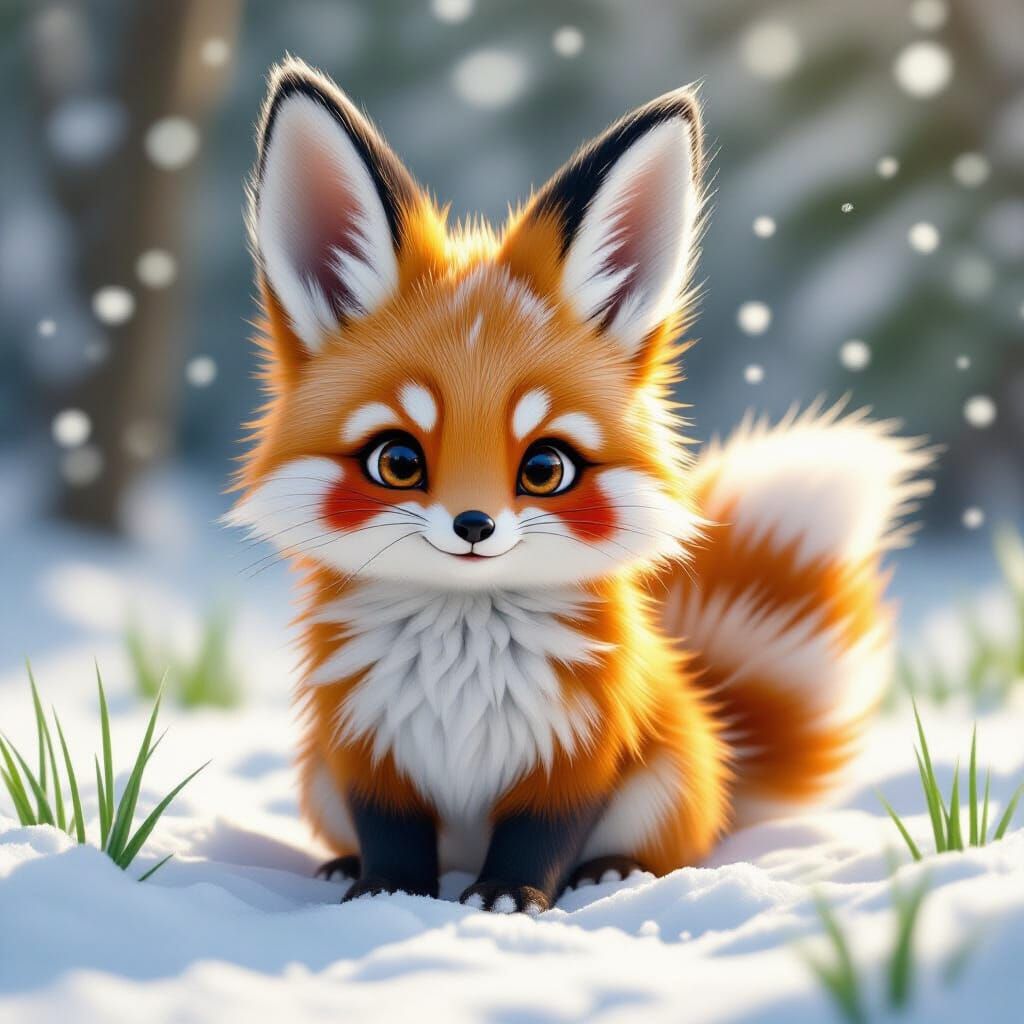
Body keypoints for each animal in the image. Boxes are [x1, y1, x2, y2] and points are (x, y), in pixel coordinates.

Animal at [228, 58, 933, 915]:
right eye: (397, 461)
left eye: (545, 468)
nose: (473, 525)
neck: (463, 659)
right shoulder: (367, 752)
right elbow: (391, 836)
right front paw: (387, 894)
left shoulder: (578, 757)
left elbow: (541, 838)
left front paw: (508, 897)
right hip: (317, 777)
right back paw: (339, 866)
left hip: (663, 783)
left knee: (659, 850)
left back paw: (616, 873)